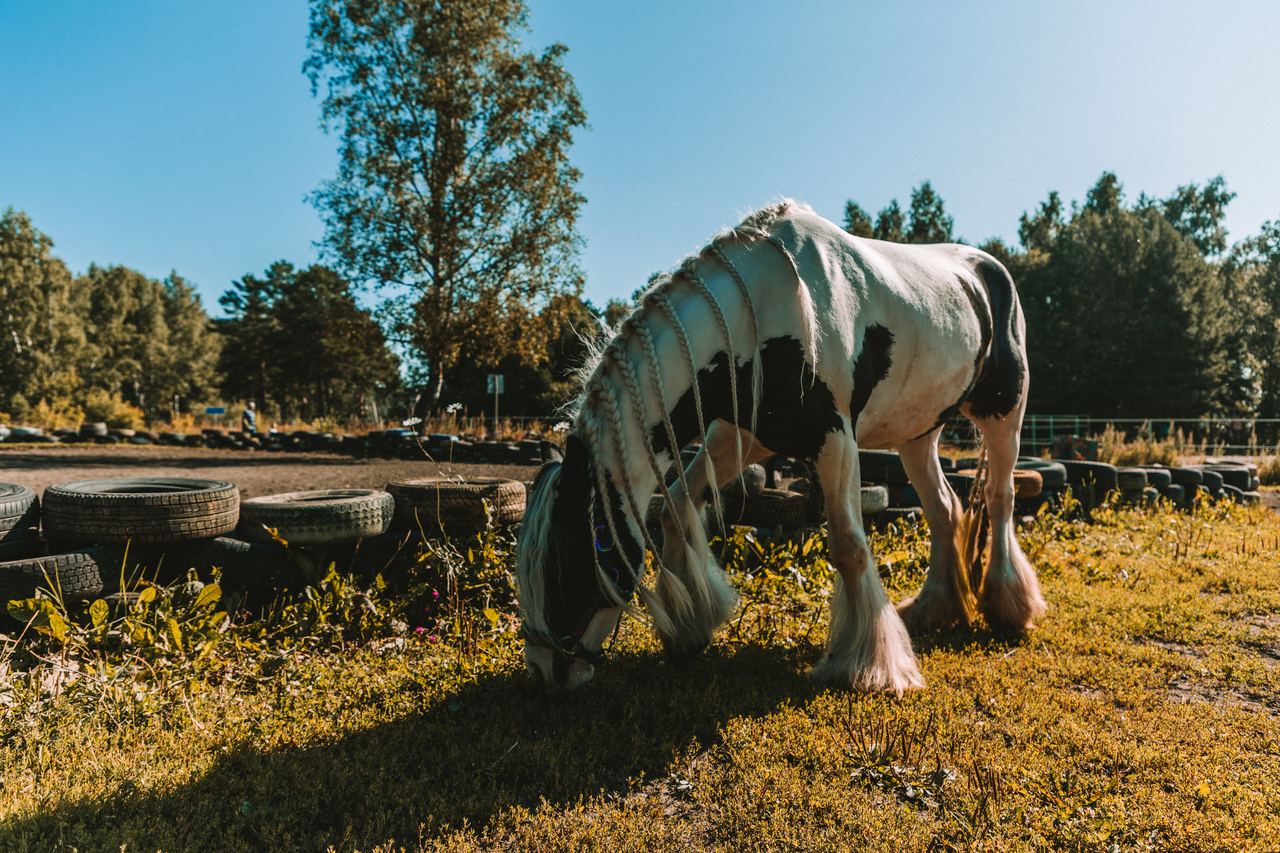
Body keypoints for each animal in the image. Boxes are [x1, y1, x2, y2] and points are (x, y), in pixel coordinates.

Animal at [509, 201, 1039, 696]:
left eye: (578, 554)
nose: (542, 671)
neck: (762, 313)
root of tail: (988, 269)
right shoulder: (738, 440)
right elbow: (676, 509)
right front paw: (691, 628)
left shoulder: (835, 440)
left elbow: (849, 547)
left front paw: (869, 666)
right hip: (916, 435)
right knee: (945, 509)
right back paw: (934, 609)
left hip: (1004, 416)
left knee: (1000, 498)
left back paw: (1009, 604)